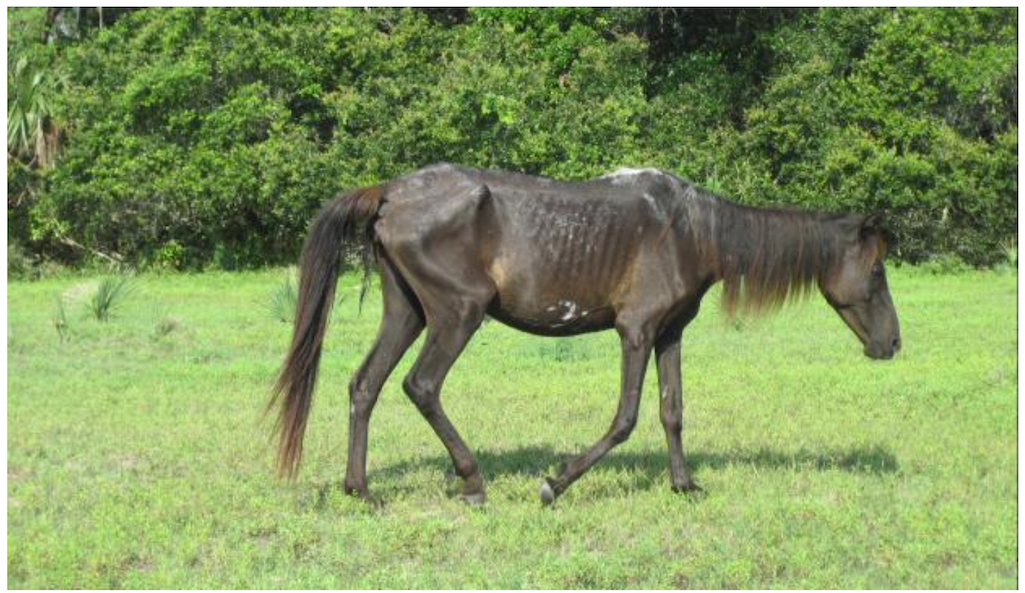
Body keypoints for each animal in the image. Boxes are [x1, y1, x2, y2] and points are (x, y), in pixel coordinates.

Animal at [270, 163, 901, 505]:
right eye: (876, 270)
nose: (892, 343)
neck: (692, 229)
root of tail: (391, 192)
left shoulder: (670, 333)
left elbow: (673, 412)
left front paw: (684, 485)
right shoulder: (636, 331)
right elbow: (625, 419)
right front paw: (557, 483)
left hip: (407, 312)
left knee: (365, 386)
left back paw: (361, 490)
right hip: (456, 314)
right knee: (421, 386)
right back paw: (471, 481)